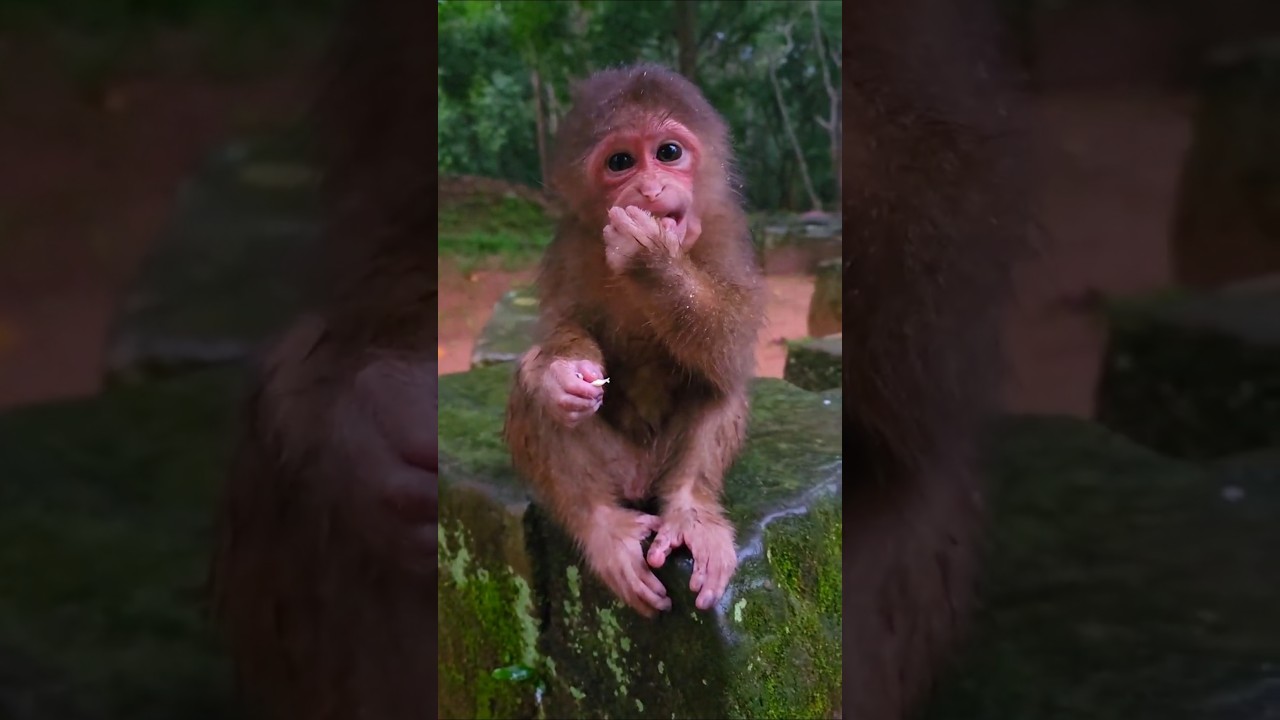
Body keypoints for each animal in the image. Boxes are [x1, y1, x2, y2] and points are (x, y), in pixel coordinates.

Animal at [502, 64, 766, 619]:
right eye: (621, 162)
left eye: (668, 152)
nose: (649, 188)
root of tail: (643, 480)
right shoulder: (570, 245)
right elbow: (560, 330)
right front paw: (561, 376)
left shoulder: (727, 232)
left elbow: (730, 349)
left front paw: (652, 261)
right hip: (616, 467)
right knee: (531, 384)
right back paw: (603, 526)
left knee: (720, 383)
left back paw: (690, 513)